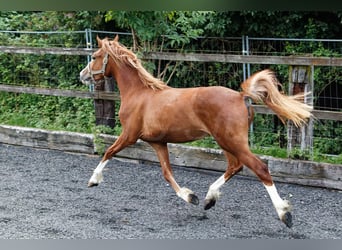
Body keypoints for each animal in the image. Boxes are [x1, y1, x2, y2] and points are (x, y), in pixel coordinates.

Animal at [79, 35, 312, 229]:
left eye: (95, 56)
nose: (83, 75)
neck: (139, 94)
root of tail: (240, 96)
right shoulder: (158, 142)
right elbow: (167, 173)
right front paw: (191, 197)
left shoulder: (129, 135)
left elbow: (108, 151)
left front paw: (93, 180)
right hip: (226, 142)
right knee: (235, 166)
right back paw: (209, 199)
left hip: (231, 141)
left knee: (259, 168)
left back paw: (284, 214)